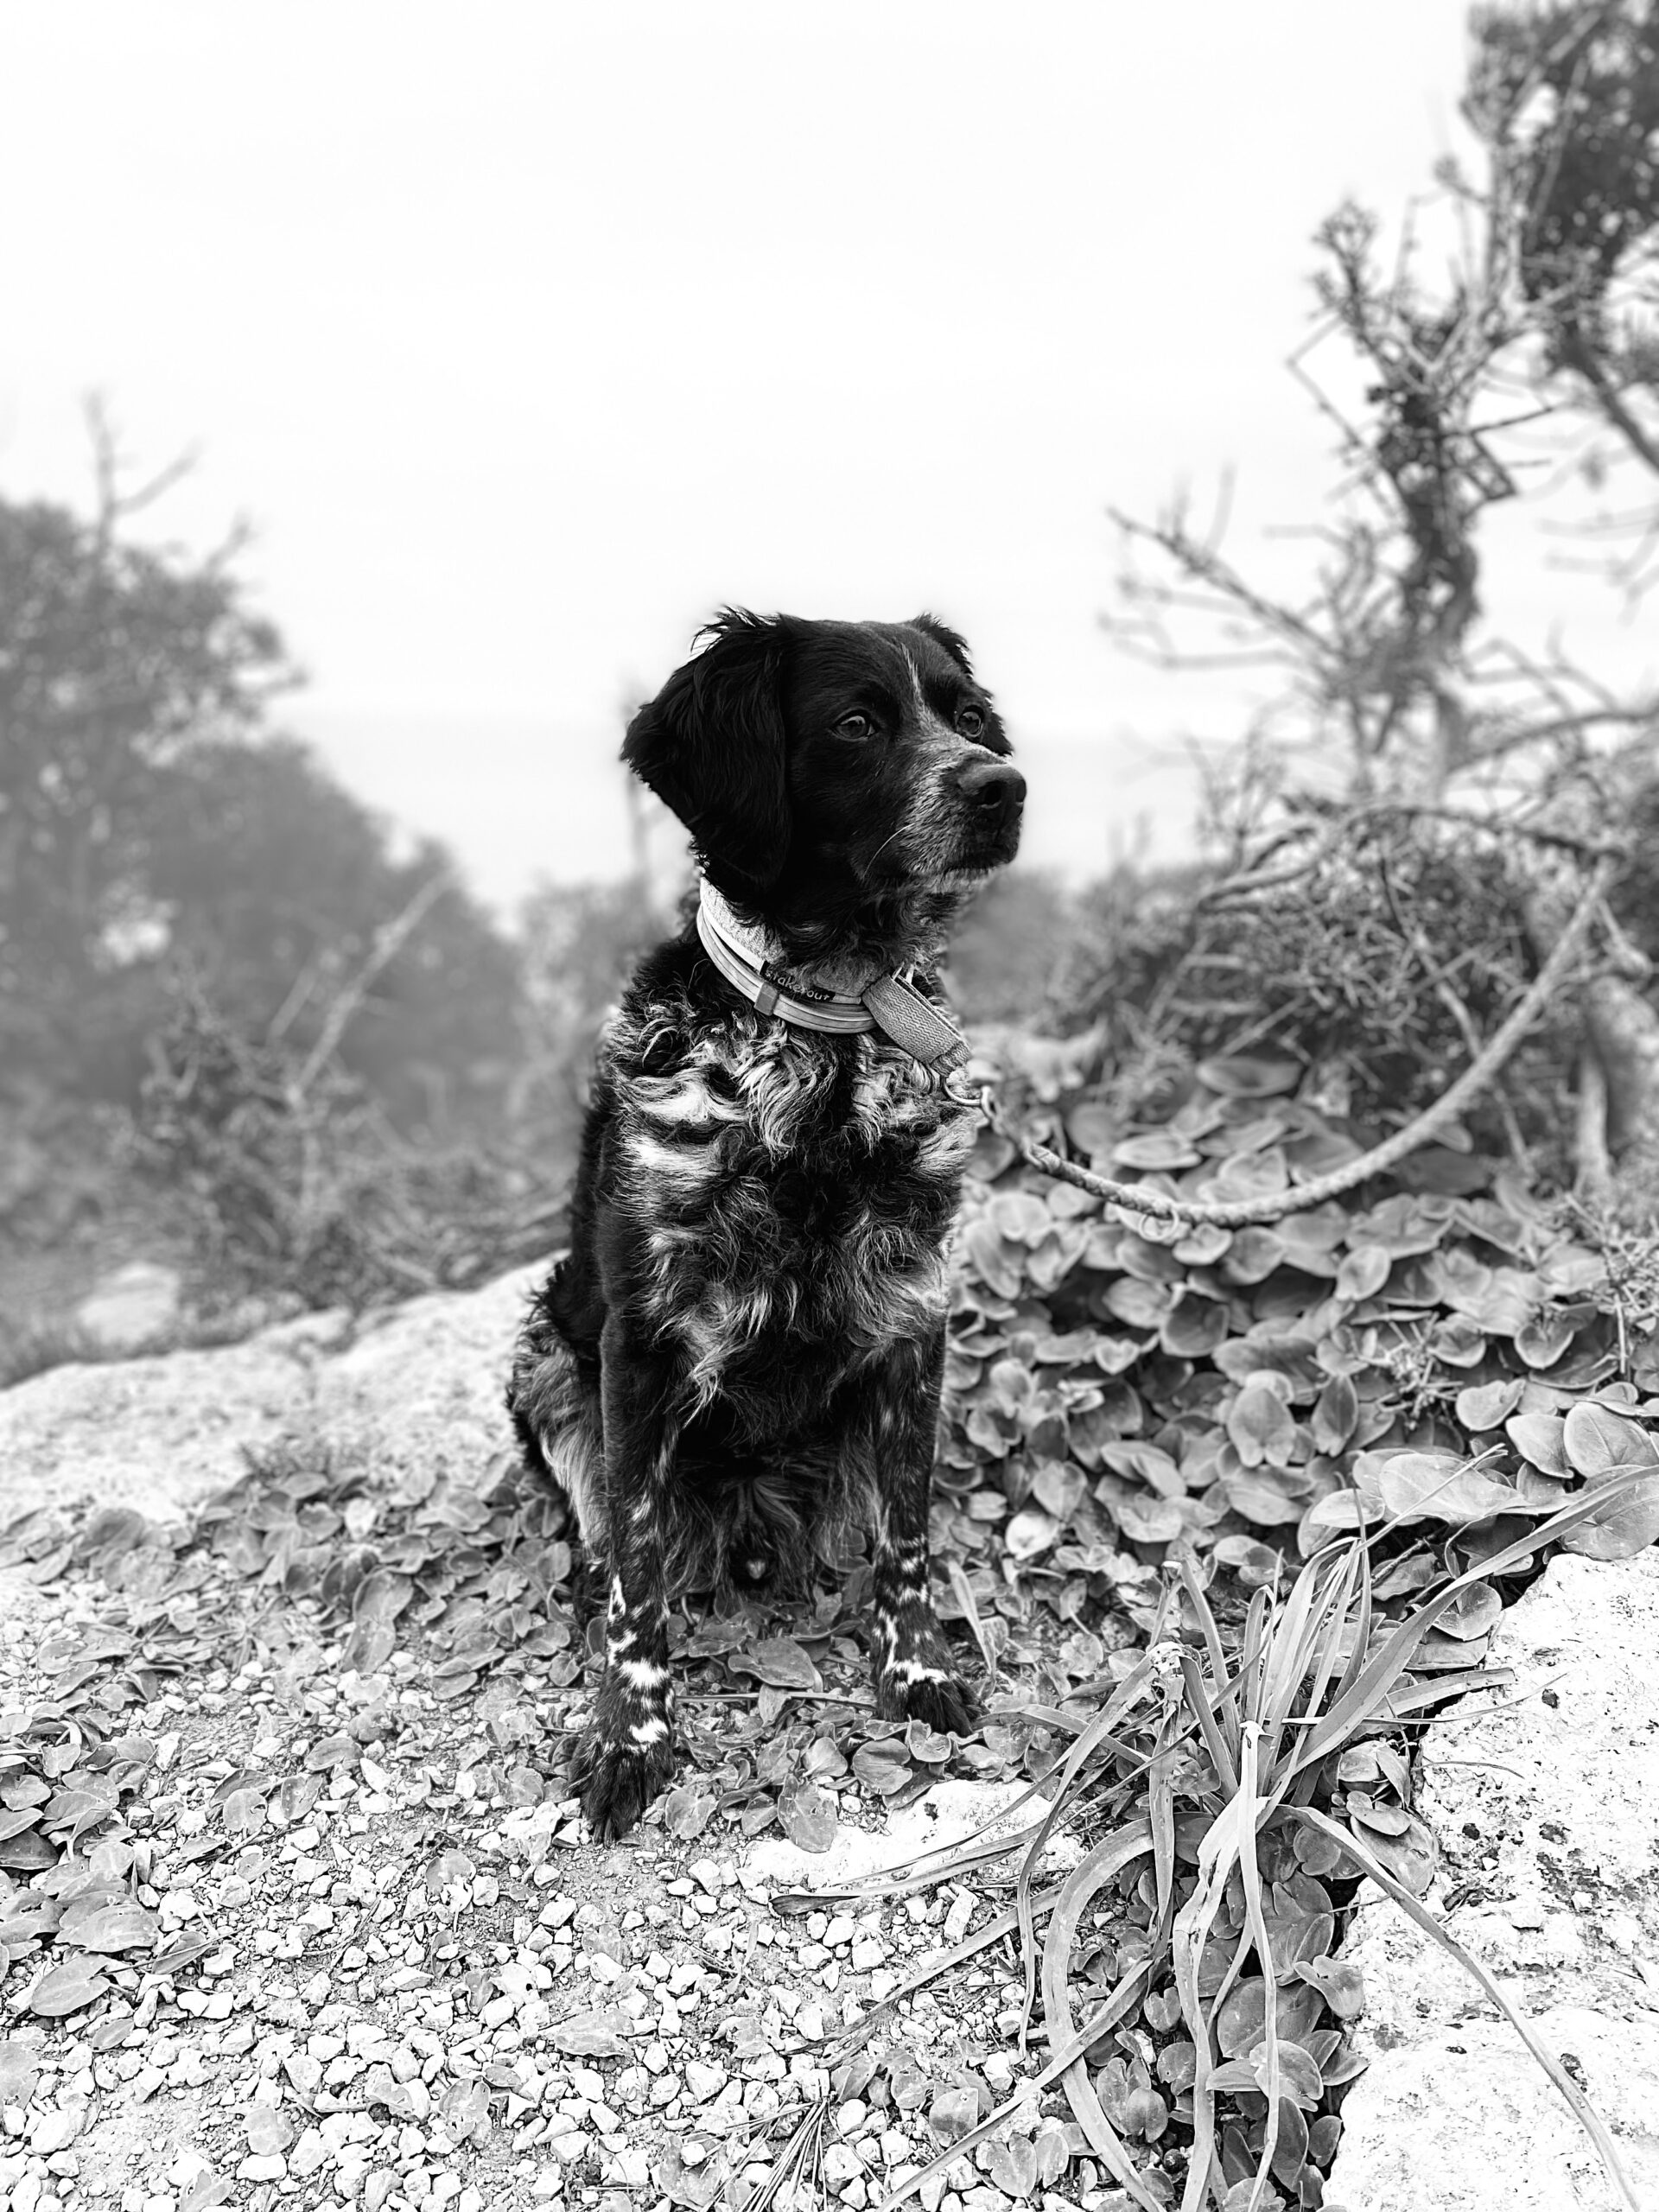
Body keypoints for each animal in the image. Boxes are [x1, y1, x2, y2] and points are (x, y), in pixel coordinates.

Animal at [508, 609, 1025, 1839]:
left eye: (966, 717)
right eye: (856, 724)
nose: (1003, 786)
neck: (827, 1039)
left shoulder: (914, 1317)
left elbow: (907, 1533)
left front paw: (915, 1669)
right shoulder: (640, 1339)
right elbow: (638, 1565)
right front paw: (634, 1736)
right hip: (544, 1357)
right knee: (605, 1537)